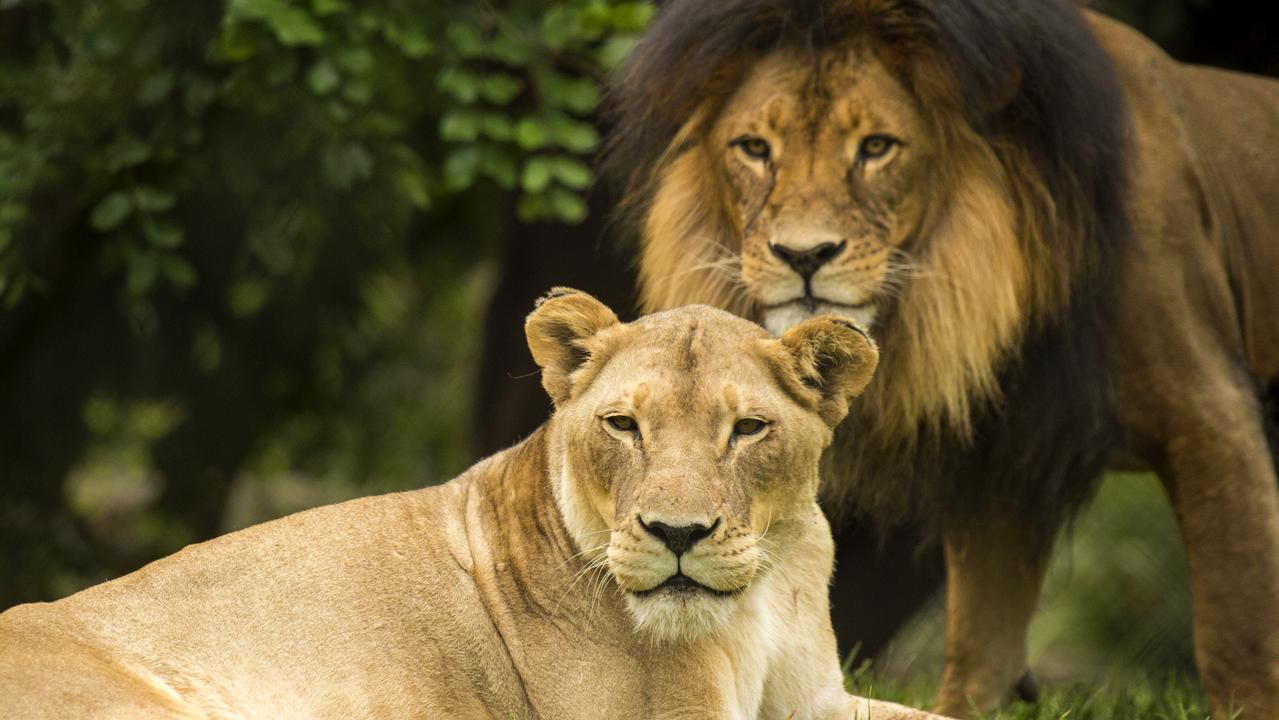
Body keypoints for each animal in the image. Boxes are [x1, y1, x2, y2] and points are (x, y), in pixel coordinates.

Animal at [608, 0, 1279, 716]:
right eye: (756, 149)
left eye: (877, 147)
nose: (803, 254)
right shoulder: (998, 460)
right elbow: (982, 637)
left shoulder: (1210, 419)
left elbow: (1237, 625)